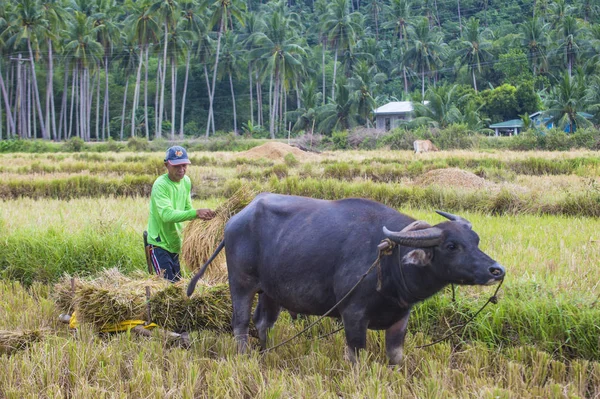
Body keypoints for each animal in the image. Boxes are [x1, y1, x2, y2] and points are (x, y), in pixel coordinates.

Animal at [185, 194, 504, 366]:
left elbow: (396, 356)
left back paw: (265, 354)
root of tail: (235, 220)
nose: (496, 270)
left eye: (475, 240)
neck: (390, 262)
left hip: (272, 292)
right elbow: (355, 354)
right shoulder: (353, 315)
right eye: (451, 246)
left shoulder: (401, 318)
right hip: (241, 284)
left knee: (263, 323)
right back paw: (245, 357)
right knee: (240, 323)